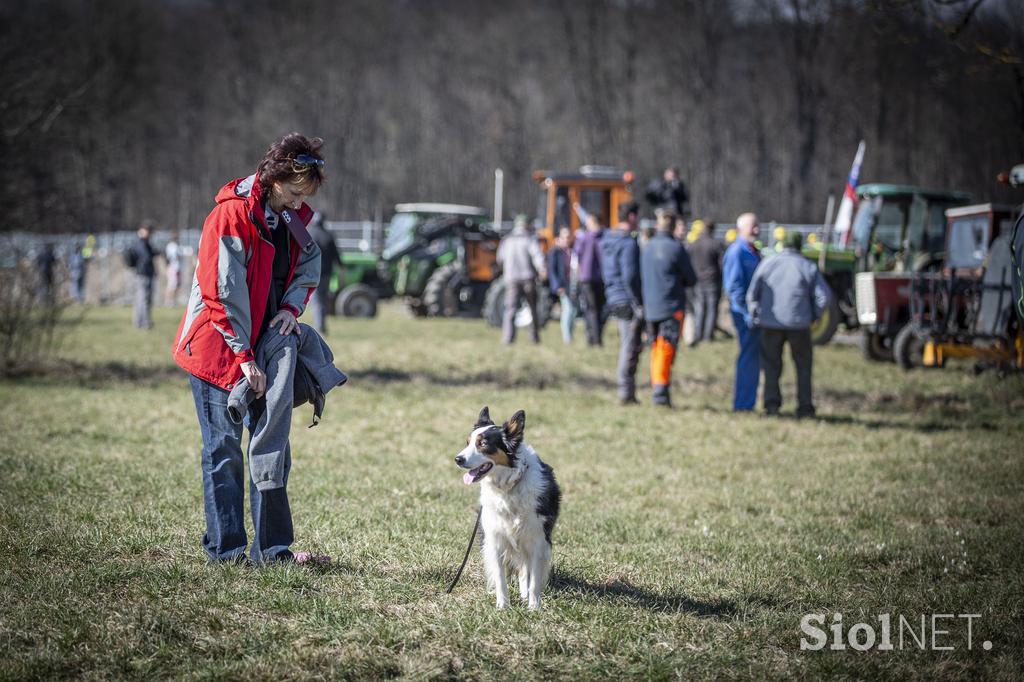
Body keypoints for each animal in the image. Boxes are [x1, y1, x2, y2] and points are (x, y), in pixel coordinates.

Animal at [456, 405, 565, 606]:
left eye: (483, 443)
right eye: (468, 442)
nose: (457, 459)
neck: (508, 486)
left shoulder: (537, 539)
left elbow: (534, 579)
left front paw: (533, 607)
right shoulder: (495, 538)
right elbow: (500, 577)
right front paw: (503, 606)